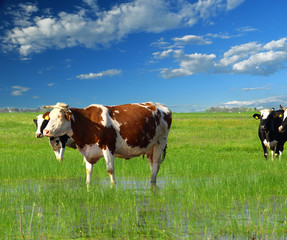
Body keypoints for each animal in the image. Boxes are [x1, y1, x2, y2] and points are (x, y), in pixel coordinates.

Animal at [42, 101, 172, 184]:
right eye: (50, 117)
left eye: (59, 116)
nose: (45, 131)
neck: (88, 123)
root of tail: (160, 106)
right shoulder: (88, 152)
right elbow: (88, 172)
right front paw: (88, 187)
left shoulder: (108, 147)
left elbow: (110, 170)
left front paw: (113, 187)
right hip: (150, 146)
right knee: (152, 164)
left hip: (161, 141)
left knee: (156, 163)